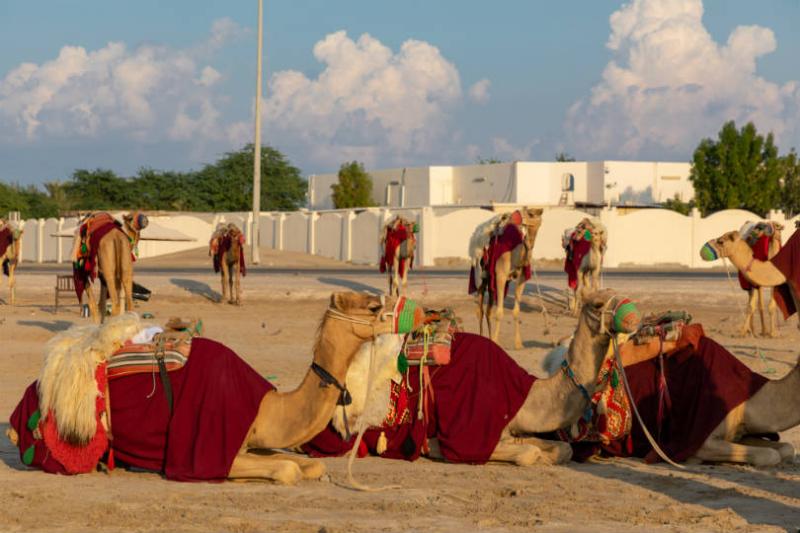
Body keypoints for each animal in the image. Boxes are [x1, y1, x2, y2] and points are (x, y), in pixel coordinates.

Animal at [7, 292, 416, 484]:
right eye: (374, 306)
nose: (422, 311)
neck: (268, 407)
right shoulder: (212, 447)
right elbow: (288, 471)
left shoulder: (252, 440)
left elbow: (309, 465)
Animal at [324, 289, 638, 466]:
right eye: (598, 304)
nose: (634, 316)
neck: (526, 395)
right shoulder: (472, 432)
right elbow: (528, 454)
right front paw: (432, 447)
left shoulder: (511, 428)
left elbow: (564, 450)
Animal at [469, 207, 544, 350]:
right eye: (527, 211)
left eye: (531, 214)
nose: (517, 215)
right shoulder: (500, 276)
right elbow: (499, 312)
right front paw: (496, 341)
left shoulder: (521, 279)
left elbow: (516, 311)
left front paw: (518, 344)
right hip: (480, 276)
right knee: (480, 310)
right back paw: (483, 338)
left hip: (491, 282)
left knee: (488, 310)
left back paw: (489, 338)